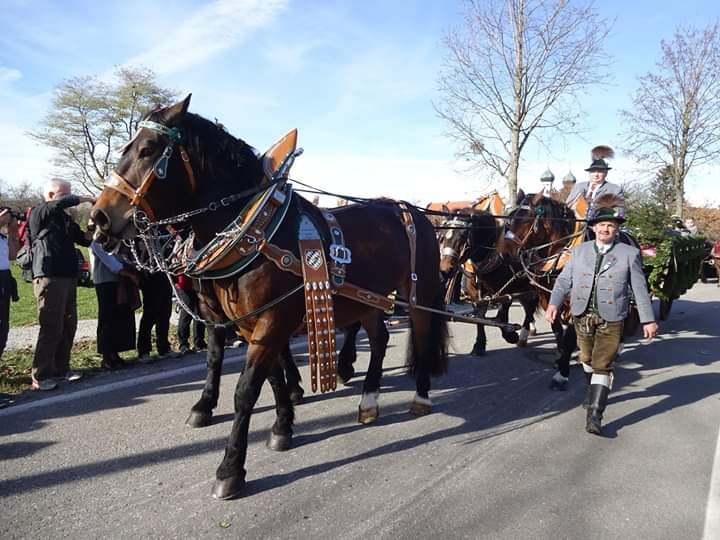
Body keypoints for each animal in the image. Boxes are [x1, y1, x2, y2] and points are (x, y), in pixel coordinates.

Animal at [89, 95, 448, 500]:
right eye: (127, 148)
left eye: (148, 149)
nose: (99, 217)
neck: (256, 232)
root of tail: (411, 210)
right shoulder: (251, 324)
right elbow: (269, 378)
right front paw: (281, 427)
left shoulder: (272, 320)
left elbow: (246, 390)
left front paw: (230, 468)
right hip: (366, 298)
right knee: (380, 338)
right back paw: (368, 399)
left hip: (418, 291)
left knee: (421, 333)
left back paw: (420, 397)